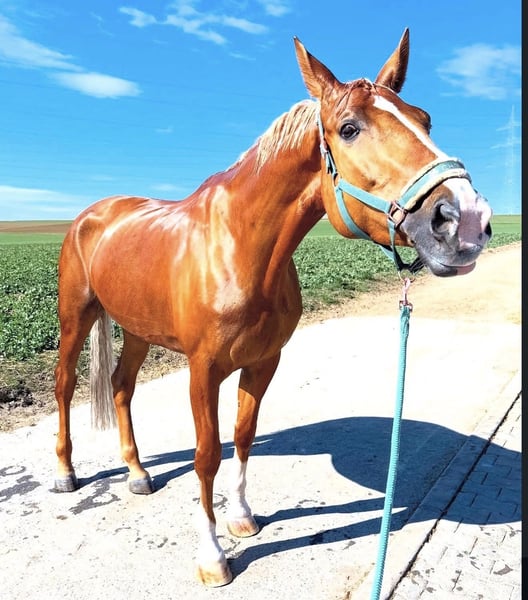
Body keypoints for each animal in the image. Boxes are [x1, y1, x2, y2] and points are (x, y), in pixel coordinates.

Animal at [53, 29, 492, 587]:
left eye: (425, 119)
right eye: (349, 129)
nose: (467, 221)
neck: (241, 248)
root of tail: (94, 214)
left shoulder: (263, 362)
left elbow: (243, 437)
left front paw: (242, 519)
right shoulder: (203, 370)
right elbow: (206, 456)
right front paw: (212, 557)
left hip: (135, 330)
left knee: (122, 387)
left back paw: (137, 474)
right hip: (76, 318)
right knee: (65, 386)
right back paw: (66, 473)